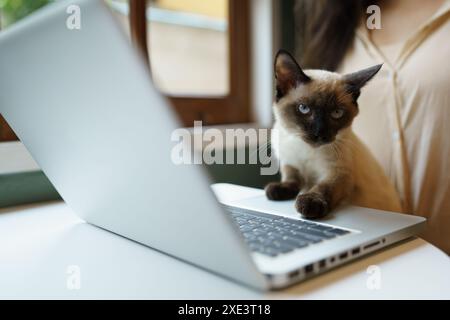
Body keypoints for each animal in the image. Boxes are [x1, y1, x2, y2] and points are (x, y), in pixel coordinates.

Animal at [264, 50, 400, 219]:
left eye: (336, 113)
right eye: (304, 108)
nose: (319, 133)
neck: (307, 150)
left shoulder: (339, 173)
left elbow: (323, 187)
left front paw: (309, 204)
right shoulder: (290, 163)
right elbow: (292, 179)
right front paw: (277, 190)